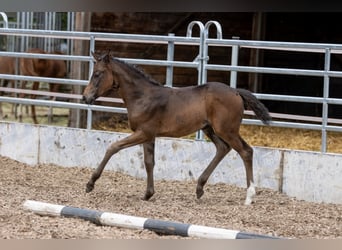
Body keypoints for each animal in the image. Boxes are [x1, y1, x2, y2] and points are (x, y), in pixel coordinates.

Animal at [81, 50, 272, 205]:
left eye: (97, 74)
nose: (85, 97)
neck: (142, 96)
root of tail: (236, 92)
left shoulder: (143, 133)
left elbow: (113, 147)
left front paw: (90, 183)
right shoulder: (149, 136)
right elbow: (149, 162)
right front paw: (148, 194)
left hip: (227, 130)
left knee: (246, 151)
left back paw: (249, 196)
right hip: (209, 129)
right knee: (222, 148)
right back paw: (199, 188)